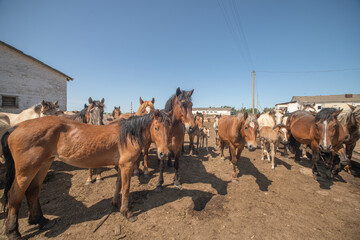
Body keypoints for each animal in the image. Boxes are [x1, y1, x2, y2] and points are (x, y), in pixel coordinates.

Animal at [1, 109, 170, 239]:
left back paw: (42, 221)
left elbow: (118, 186)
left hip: (43, 164)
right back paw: (13, 232)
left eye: (169, 128)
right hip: (26, 170)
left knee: (32, 192)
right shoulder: (127, 166)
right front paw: (127, 213)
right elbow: (126, 189)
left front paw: (115, 204)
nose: (164, 154)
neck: (128, 135)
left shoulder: (121, 166)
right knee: (14, 196)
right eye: (156, 128)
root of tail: (15, 127)